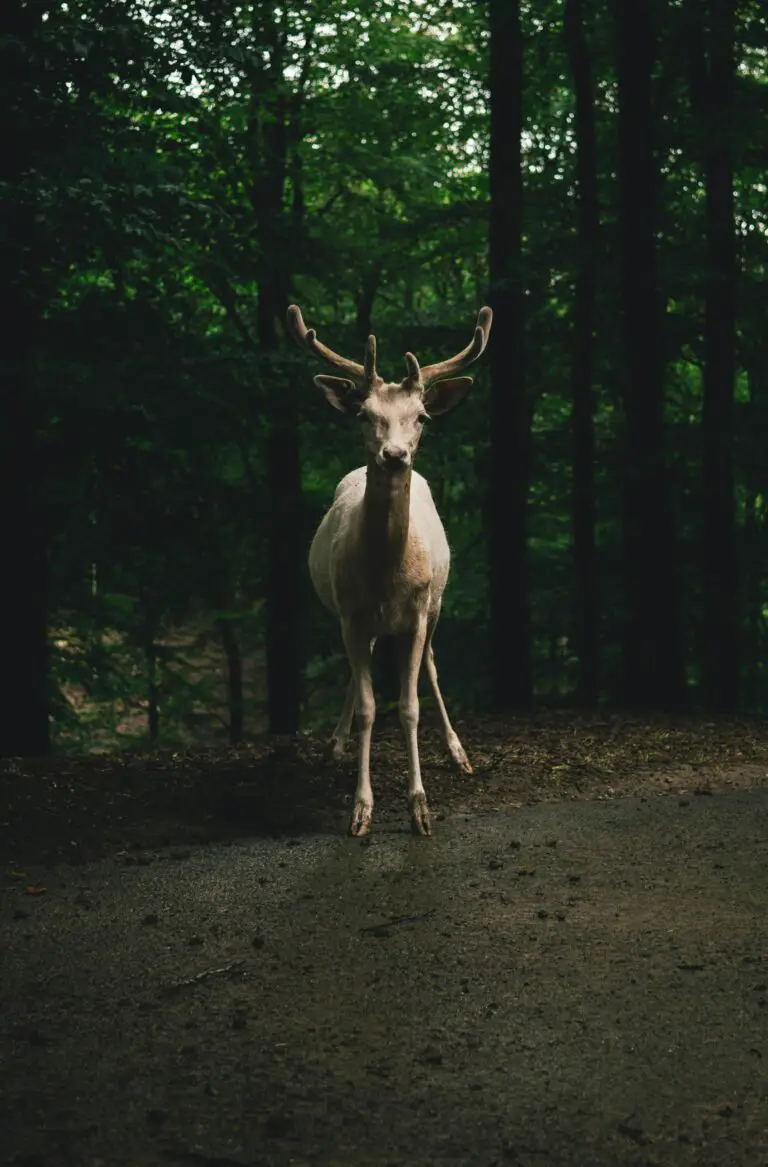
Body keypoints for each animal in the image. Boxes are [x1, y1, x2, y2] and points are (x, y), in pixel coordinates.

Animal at [285, 301, 490, 830]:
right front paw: (361, 808)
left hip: (437, 604)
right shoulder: (352, 614)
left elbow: (410, 706)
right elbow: (369, 707)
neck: (386, 577)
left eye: (421, 417)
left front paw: (420, 807)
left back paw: (459, 753)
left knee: (433, 665)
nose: (394, 455)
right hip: (351, 617)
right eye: (364, 413)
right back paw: (335, 745)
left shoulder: (416, 613)